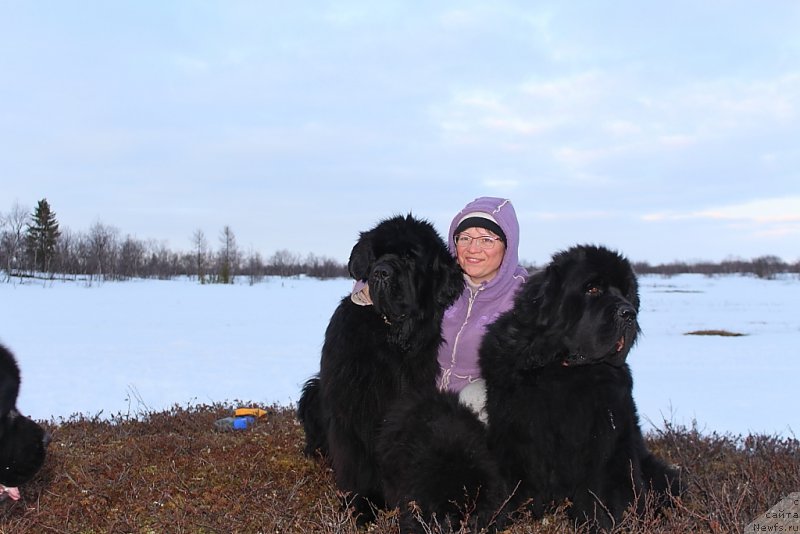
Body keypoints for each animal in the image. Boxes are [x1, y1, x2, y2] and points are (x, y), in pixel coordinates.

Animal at [298, 214, 462, 524]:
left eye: (410, 257)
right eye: (376, 255)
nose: (381, 272)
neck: (391, 337)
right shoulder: (353, 405)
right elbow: (357, 463)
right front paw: (362, 506)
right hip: (314, 393)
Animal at [482, 247, 680, 532]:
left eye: (626, 293)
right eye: (592, 289)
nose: (629, 313)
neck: (563, 368)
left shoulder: (606, 440)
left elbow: (604, 492)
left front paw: (605, 523)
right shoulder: (515, 436)